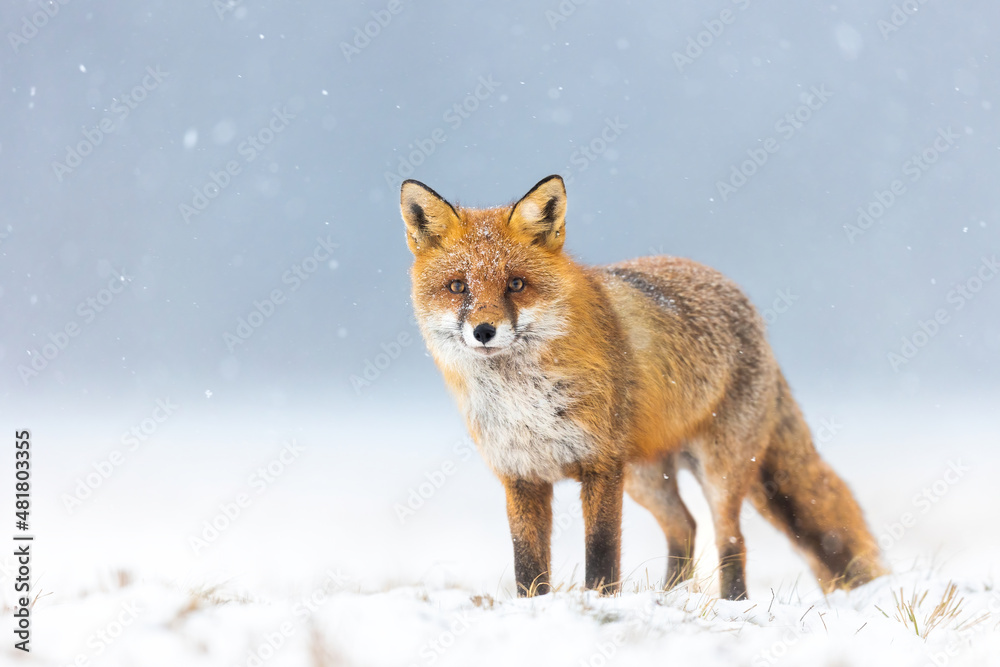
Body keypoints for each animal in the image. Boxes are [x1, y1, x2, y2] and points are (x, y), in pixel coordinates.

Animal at [399, 174, 886, 600]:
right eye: (458, 287)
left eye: (515, 284)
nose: (484, 331)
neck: (524, 399)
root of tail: (744, 302)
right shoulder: (521, 474)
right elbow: (528, 565)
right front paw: (533, 609)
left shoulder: (601, 466)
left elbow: (601, 551)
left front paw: (600, 602)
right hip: (647, 478)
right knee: (685, 527)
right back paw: (670, 597)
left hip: (717, 470)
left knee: (730, 540)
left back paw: (732, 602)